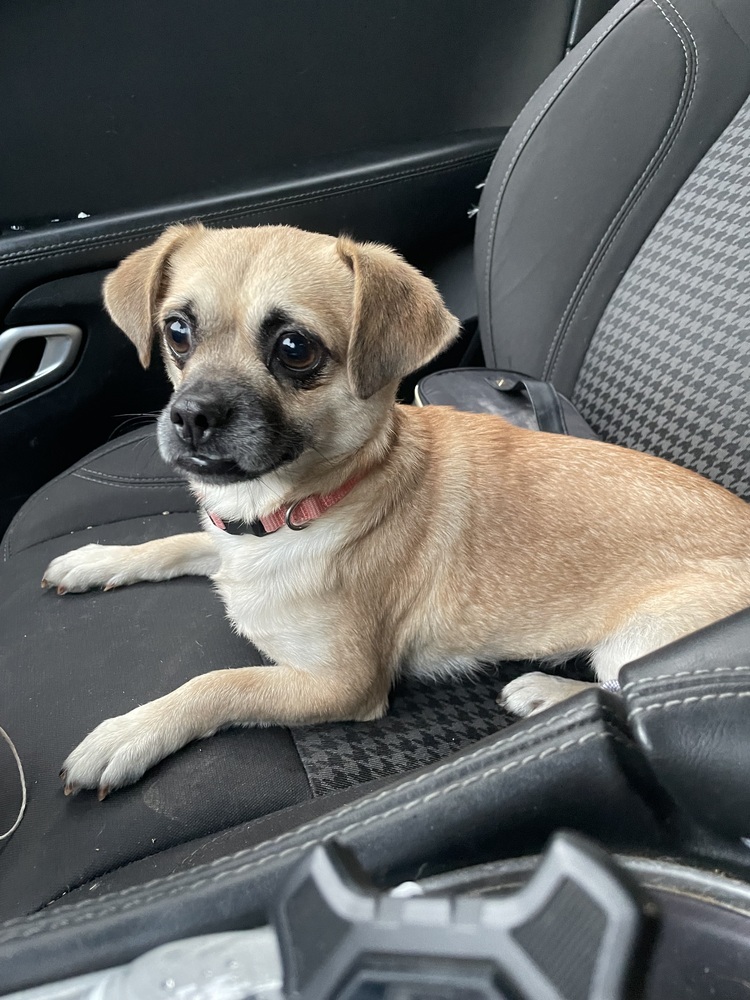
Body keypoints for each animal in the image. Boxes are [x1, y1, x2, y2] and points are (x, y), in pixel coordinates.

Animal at [45, 225, 750, 796]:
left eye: (295, 348)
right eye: (177, 332)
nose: (189, 415)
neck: (295, 509)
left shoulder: (341, 684)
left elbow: (220, 683)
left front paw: (130, 733)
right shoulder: (224, 542)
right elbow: (174, 544)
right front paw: (96, 560)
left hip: (643, 635)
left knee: (623, 685)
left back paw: (547, 692)